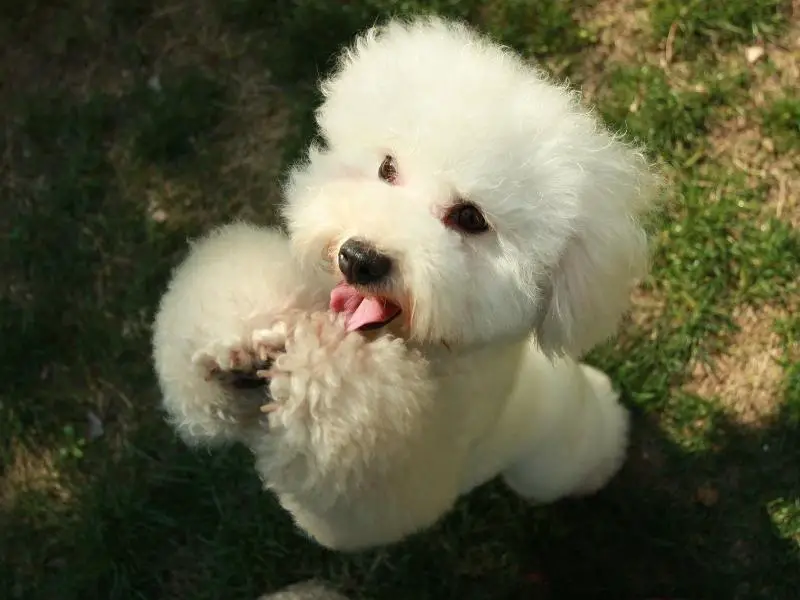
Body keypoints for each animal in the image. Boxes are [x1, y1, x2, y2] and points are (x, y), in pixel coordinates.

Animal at [152, 16, 656, 552]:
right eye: (387, 168)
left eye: (470, 218)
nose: (358, 259)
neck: (422, 347)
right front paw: (237, 350)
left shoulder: (388, 490)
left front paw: (312, 366)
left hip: (550, 463)